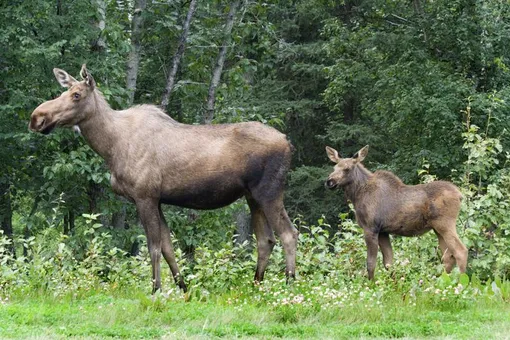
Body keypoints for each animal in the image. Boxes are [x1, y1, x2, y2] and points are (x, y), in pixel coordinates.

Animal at [28, 65, 298, 292]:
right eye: (64, 91)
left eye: (76, 95)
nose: (37, 117)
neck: (110, 147)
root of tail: (288, 142)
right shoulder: (157, 200)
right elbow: (168, 246)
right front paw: (183, 288)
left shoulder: (144, 196)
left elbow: (153, 247)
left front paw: (155, 289)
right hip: (252, 196)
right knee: (265, 240)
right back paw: (255, 286)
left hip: (269, 192)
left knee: (288, 234)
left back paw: (289, 284)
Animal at [324, 145, 468, 280]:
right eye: (334, 167)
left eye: (347, 169)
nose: (329, 181)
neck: (357, 195)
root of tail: (459, 195)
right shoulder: (383, 231)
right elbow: (388, 263)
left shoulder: (370, 228)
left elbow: (371, 264)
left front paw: (371, 285)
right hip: (437, 228)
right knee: (447, 256)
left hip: (445, 224)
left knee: (460, 251)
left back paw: (461, 282)